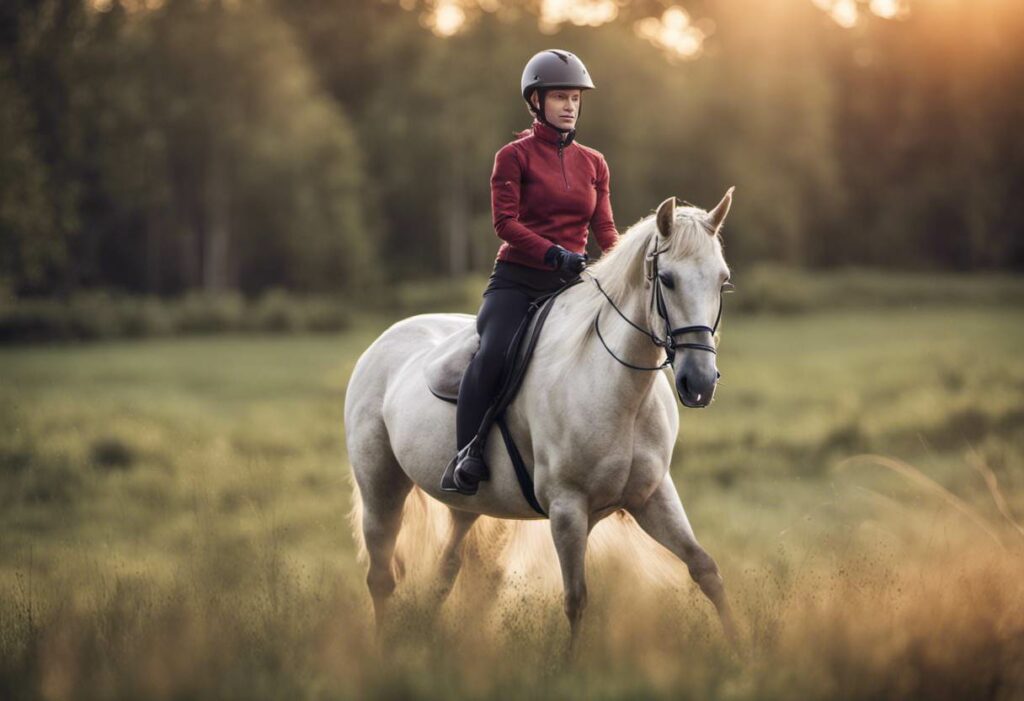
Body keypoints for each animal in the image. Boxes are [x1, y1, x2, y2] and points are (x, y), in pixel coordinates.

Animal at [344, 188, 737, 654]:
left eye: (722, 280)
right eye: (670, 279)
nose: (700, 382)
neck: (617, 388)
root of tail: (383, 341)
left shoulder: (652, 497)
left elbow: (706, 569)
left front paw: (743, 650)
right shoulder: (567, 509)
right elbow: (576, 599)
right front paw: (569, 664)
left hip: (465, 504)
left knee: (444, 572)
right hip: (381, 488)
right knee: (380, 577)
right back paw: (383, 651)